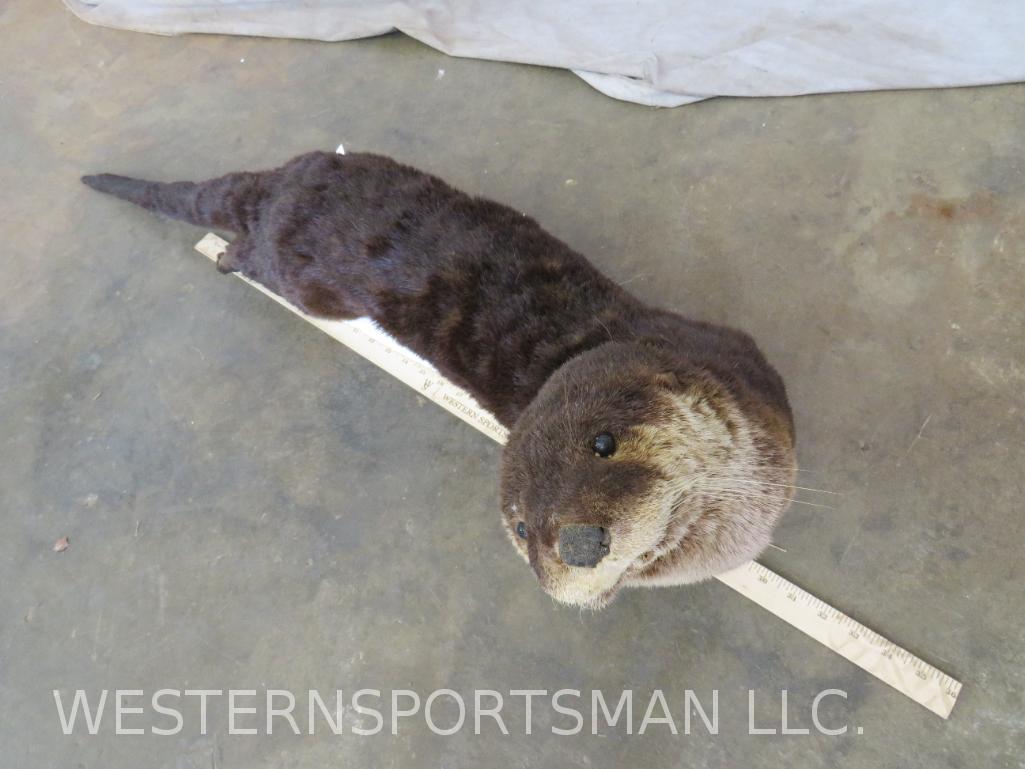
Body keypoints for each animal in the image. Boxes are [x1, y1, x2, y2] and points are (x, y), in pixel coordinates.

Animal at [83, 151, 796, 609]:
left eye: (603, 443)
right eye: (522, 529)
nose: (580, 542)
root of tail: (283, 188)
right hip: (306, 285)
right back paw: (229, 256)